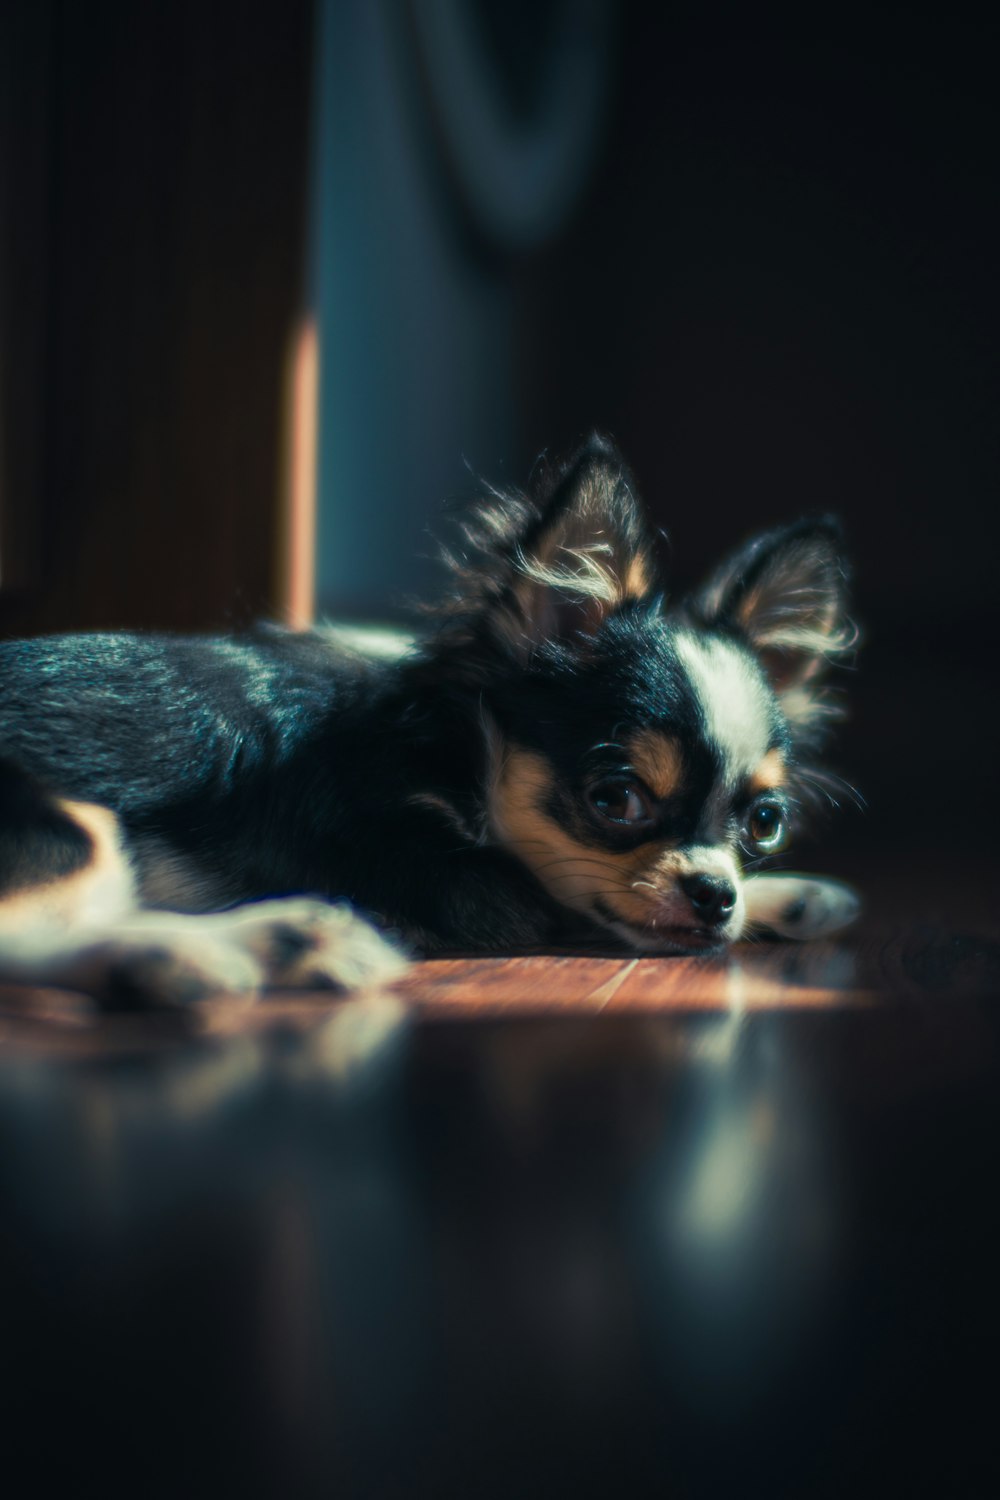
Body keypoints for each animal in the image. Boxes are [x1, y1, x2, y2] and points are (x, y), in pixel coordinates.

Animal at [0, 438, 863, 1014]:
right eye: (616, 800)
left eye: (765, 822)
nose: (715, 893)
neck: (457, 744)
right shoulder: (464, 882)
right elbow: (564, 898)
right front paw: (788, 896)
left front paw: (787, 896)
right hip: (71, 825)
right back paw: (233, 943)